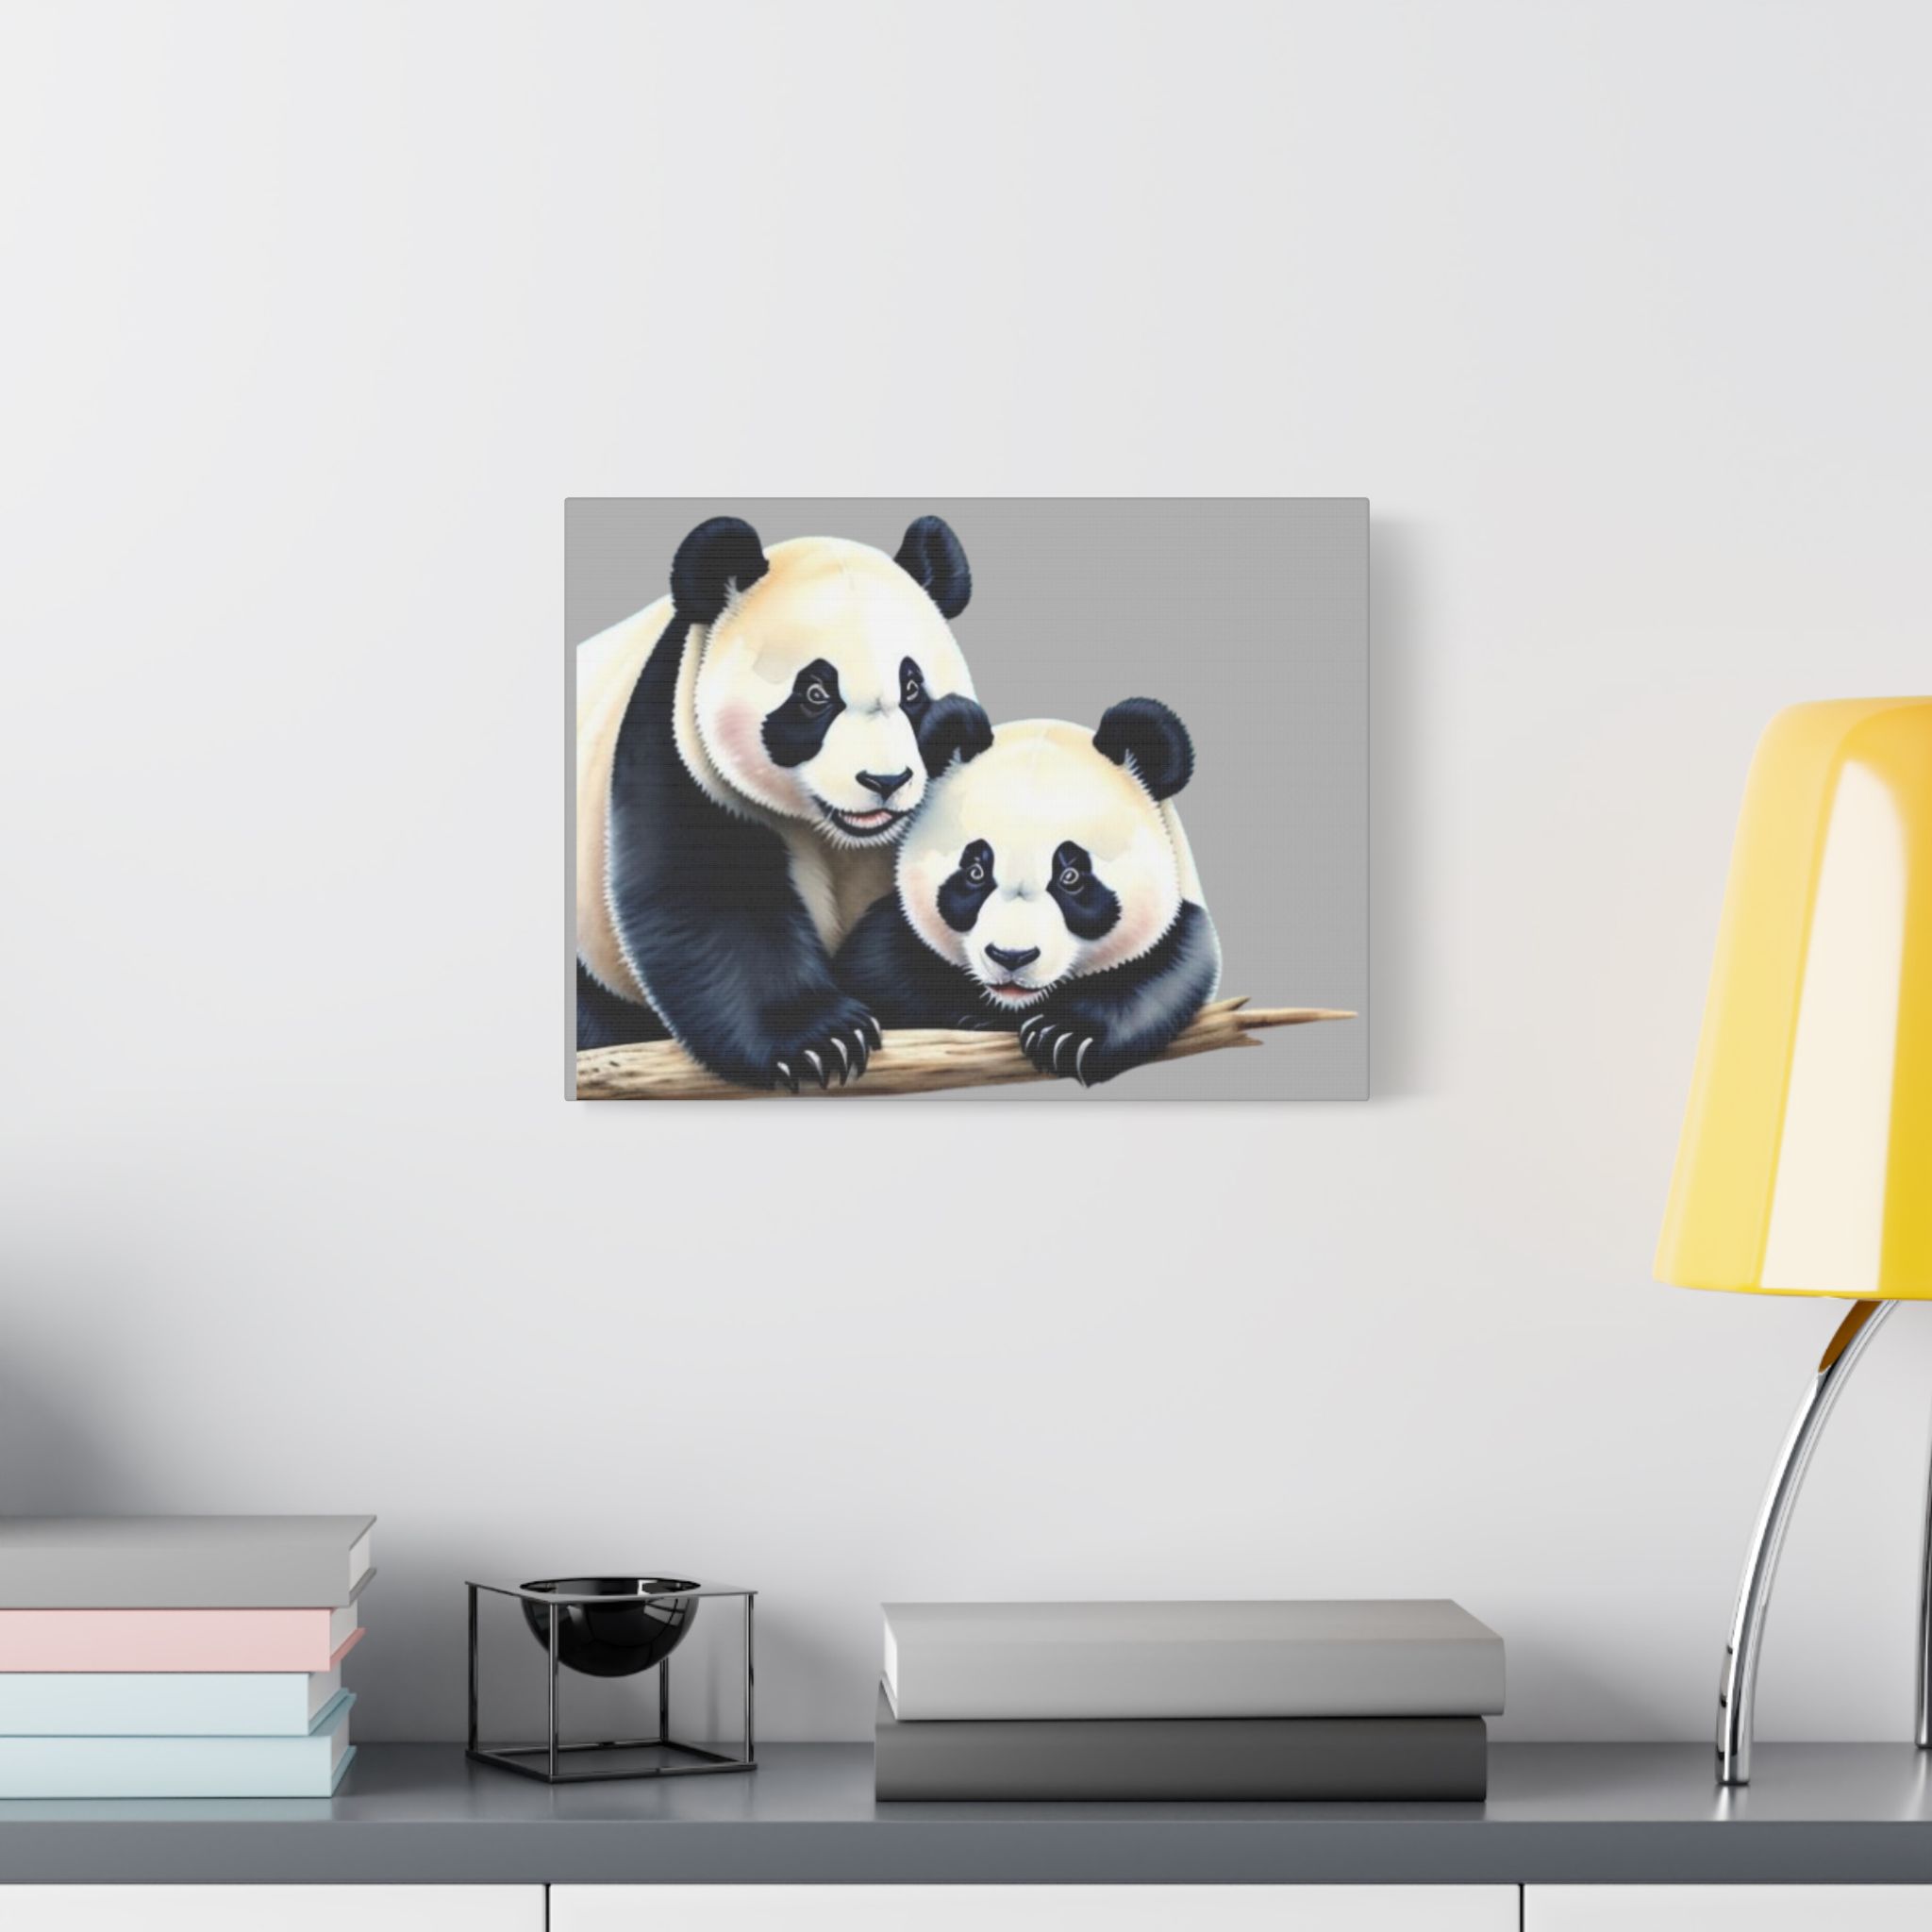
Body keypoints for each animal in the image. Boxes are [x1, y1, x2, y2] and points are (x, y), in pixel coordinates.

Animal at [576, 514, 993, 1090]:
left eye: (912, 689)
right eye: (816, 694)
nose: (885, 780)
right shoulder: (680, 749)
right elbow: (712, 901)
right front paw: (821, 1042)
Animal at [833, 699, 1222, 1086]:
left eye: (1070, 877)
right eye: (975, 872)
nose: (1011, 957)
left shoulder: (1177, 930)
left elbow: (1165, 978)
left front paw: (1067, 1037)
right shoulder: (891, 941)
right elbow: (881, 969)